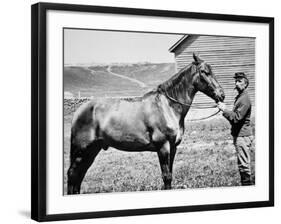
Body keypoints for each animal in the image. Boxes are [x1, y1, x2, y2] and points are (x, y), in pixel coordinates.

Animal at [66, 53, 224, 194]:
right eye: (204, 72)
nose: (221, 94)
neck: (167, 106)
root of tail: (79, 110)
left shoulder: (173, 148)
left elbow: (170, 175)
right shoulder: (163, 147)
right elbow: (166, 177)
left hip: (92, 150)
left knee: (79, 175)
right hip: (82, 150)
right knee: (72, 174)